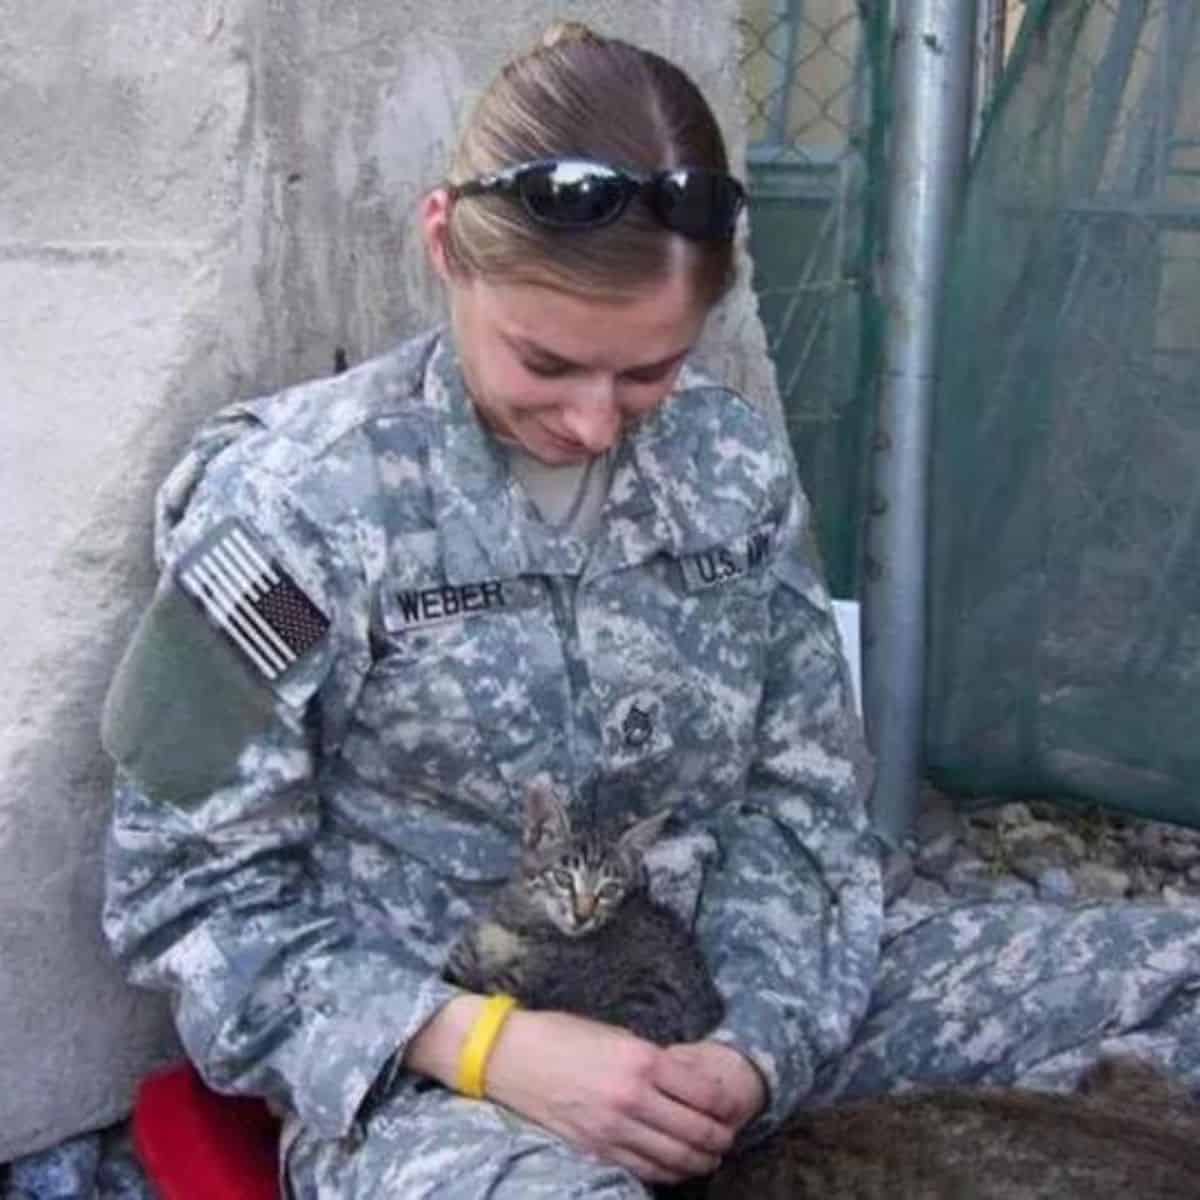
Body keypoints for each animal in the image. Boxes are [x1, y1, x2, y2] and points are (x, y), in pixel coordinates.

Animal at [441, 782, 720, 1046]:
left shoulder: (515, 986)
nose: (582, 916)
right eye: (563, 878)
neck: (522, 924)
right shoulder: (461, 961)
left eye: (609, 890)